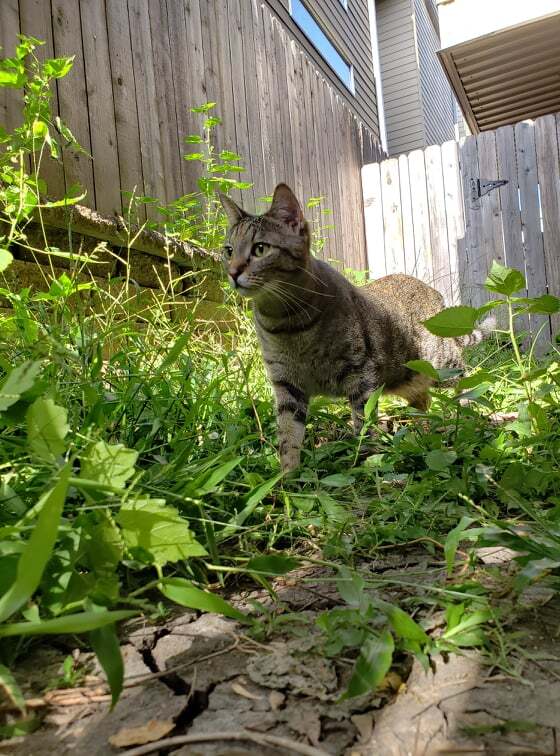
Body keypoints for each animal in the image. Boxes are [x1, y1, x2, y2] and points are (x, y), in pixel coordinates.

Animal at [219, 186, 490, 470]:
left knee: (468, 385)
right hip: (407, 378)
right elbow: (288, 438)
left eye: (260, 249)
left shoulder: (360, 375)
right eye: (228, 250)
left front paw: (366, 462)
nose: (232, 272)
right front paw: (288, 476)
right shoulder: (286, 385)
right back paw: (420, 433)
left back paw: (464, 418)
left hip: (442, 364)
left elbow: (363, 425)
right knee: (423, 401)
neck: (287, 324)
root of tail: (432, 291)